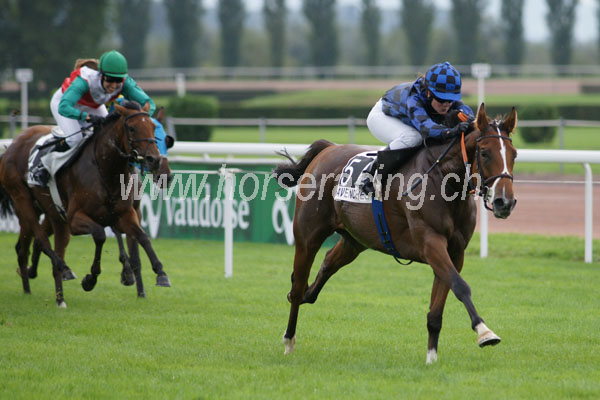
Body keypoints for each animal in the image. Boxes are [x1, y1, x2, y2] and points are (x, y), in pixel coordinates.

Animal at [0, 101, 170, 307]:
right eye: (131, 128)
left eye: (153, 127)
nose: (155, 160)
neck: (106, 170)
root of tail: (12, 145)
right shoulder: (75, 219)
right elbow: (100, 235)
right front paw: (91, 279)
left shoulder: (125, 214)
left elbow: (142, 237)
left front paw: (160, 273)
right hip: (23, 200)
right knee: (40, 239)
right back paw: (61, 269)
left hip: (53, 214)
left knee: (33, 246)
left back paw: (52, 295)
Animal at [272, 104, 517, 364]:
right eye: (484, 152)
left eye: (514, 154)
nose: (504, 202)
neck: (444, 180)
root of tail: (328, 148)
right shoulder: (430, 243)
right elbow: (461, 286)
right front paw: (484, 331)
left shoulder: (454, 252)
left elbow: (437, 308)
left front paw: (431, 358)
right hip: (307, 235)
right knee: (298, 284)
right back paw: (289, 339)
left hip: (354, 240)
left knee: (325, 267)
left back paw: (306, 295)